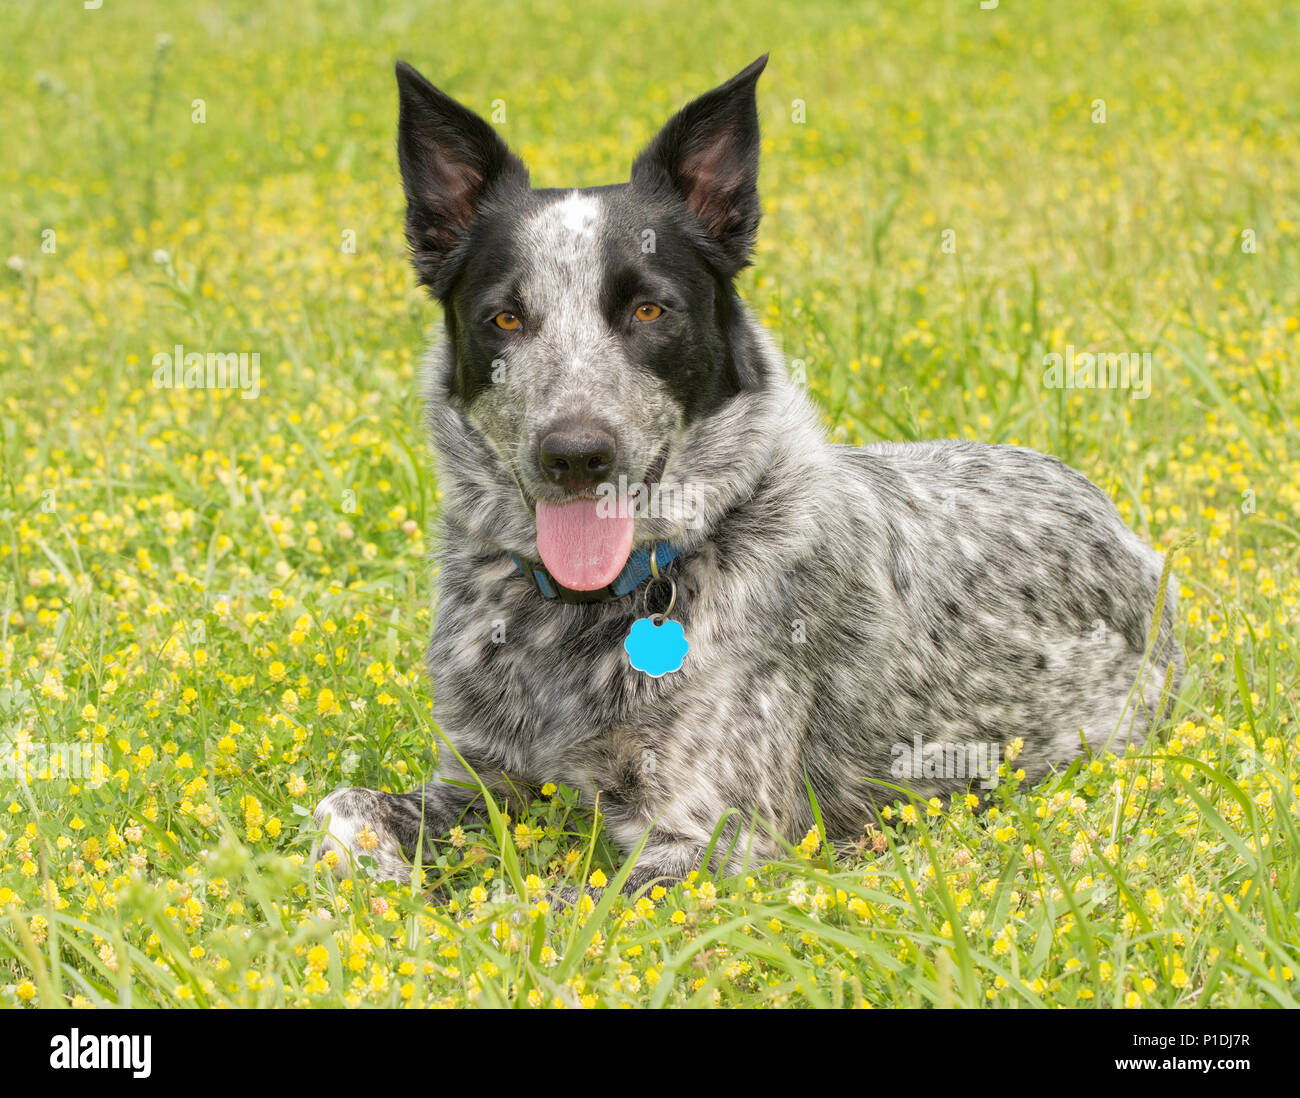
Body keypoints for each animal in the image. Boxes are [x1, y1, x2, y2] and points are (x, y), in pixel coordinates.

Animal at [312, 55, 1180, 888]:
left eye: (649, 310)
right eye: (504, 317)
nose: (576, 453)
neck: (587, 610)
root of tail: (1118, 523)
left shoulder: (714, 839)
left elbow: (565, 907)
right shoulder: (477, 781)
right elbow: (341, 811)